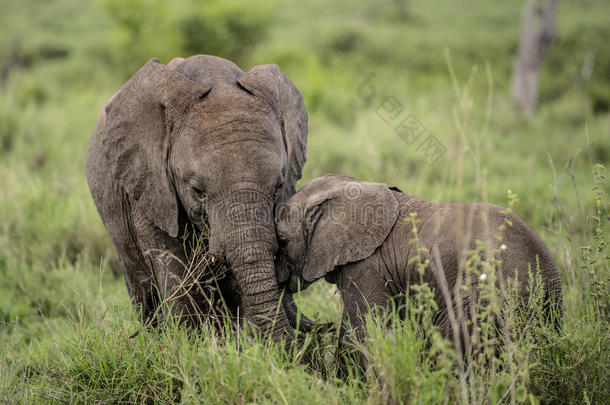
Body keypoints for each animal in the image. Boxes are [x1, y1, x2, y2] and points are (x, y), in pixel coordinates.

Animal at [276, 174, 560, 354]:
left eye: (282, 240)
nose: (325, 323)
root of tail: (550, 275)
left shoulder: (368, 264)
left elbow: (363, 331)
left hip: (489, 295)